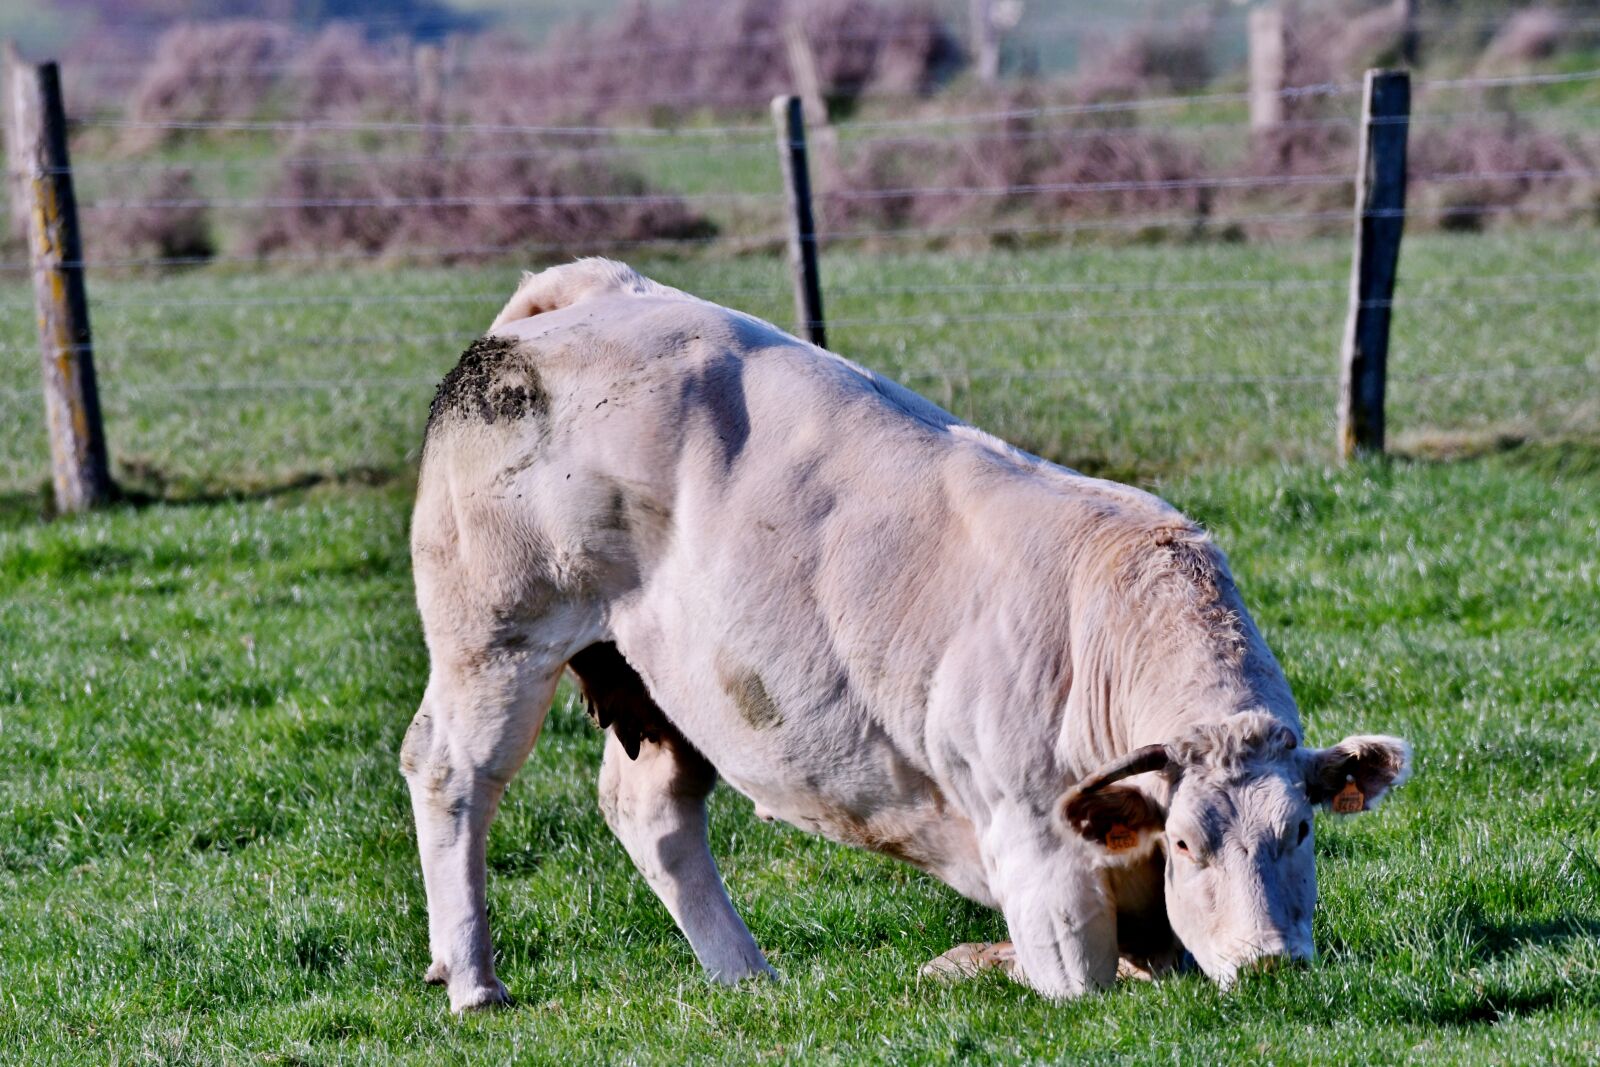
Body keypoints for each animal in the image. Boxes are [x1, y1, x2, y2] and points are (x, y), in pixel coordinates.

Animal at [403, 258, 1411, 1012]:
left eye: (1301, 831)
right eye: (1190, 844)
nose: (1270, 964)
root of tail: (589, 294)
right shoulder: (1037, 858)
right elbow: (1082, 982)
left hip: (664, 685)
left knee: (651, 811)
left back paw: (748, 976)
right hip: (497, 638)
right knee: (451, 773)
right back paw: (475, 981)